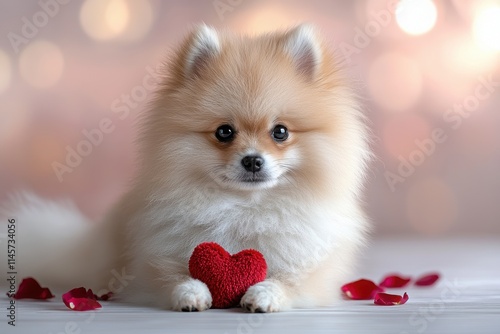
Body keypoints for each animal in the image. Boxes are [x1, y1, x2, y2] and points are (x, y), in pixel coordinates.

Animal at [1, 24, 372, 314]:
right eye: (224, 132)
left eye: (280, 132)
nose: (253, 160)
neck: (244, 208)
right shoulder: (151, 261)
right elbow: (171, 275)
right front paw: (191, 293)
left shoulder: (313, 267)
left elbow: (289, 280)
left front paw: (264, 294)